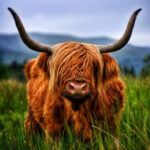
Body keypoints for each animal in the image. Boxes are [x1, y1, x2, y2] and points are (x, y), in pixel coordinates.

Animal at [8, 7, 141, 141]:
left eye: (93, 66)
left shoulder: (110, 129)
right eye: (61, 68)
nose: (78, 88)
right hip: (31, 119)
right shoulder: (53, 131)